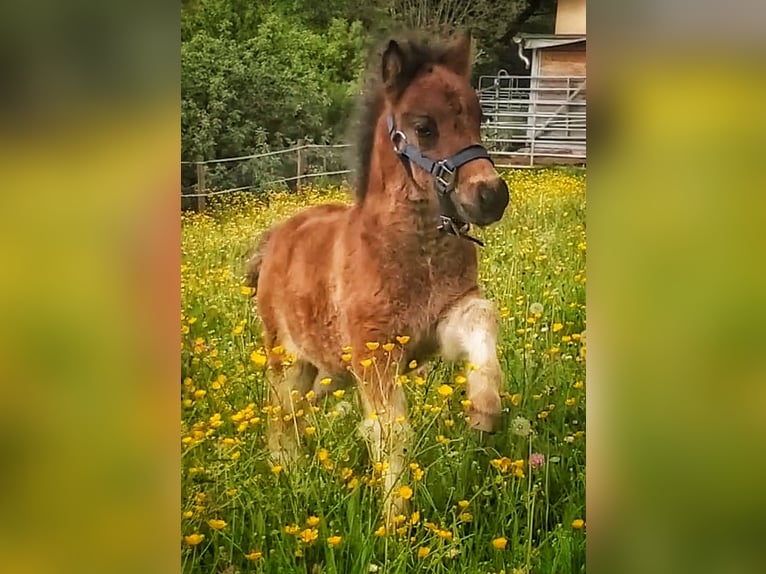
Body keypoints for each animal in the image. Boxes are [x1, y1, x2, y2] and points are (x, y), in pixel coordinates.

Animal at [246, 31, 510, 528]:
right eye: (424, 126)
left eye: (480, 116)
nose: (490, 195)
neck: (412, 253)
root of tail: (275, 238)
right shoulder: (375, 351)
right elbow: (391, 433)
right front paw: (395, 524)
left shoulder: (441, 322)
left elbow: (483, 316)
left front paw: (483, 408)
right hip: (287, 358)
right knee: (281, 414)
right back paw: (288, 477)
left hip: (328, 369)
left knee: (301, 412)